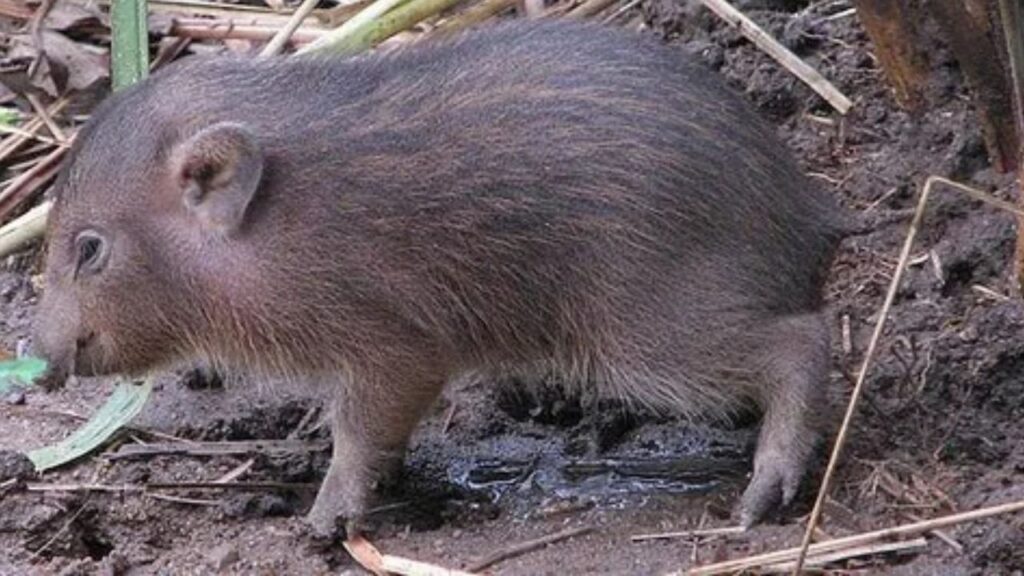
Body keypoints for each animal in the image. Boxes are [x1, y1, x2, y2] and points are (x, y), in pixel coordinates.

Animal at [32, 19, 848, 536]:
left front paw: (324, 525)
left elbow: (357, 433)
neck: (268, 231)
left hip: (649, 331)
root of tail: (811, 216)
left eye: (90, 248)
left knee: (804, 341)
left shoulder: (398, 350)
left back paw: (762, 497)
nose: (36, 363)